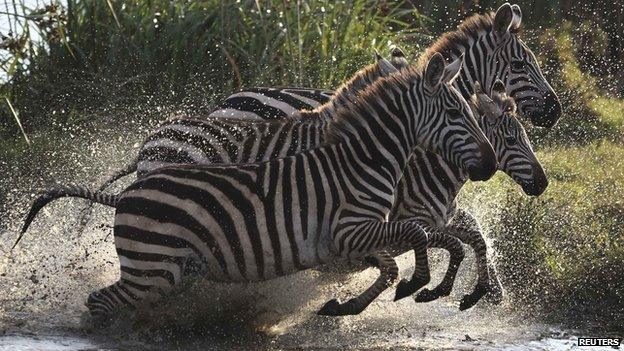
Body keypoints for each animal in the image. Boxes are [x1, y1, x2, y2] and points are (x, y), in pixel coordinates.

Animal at [18, 53, 498, 320]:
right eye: (456, 112)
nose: (491, 165)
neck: (363, 158)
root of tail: (135, 182)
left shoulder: (355, 237)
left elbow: (407, 254)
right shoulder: (351, 230)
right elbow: (418, 237)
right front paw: (421, 283)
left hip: (168, 265)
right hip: (156, 268)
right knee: (104, 301)